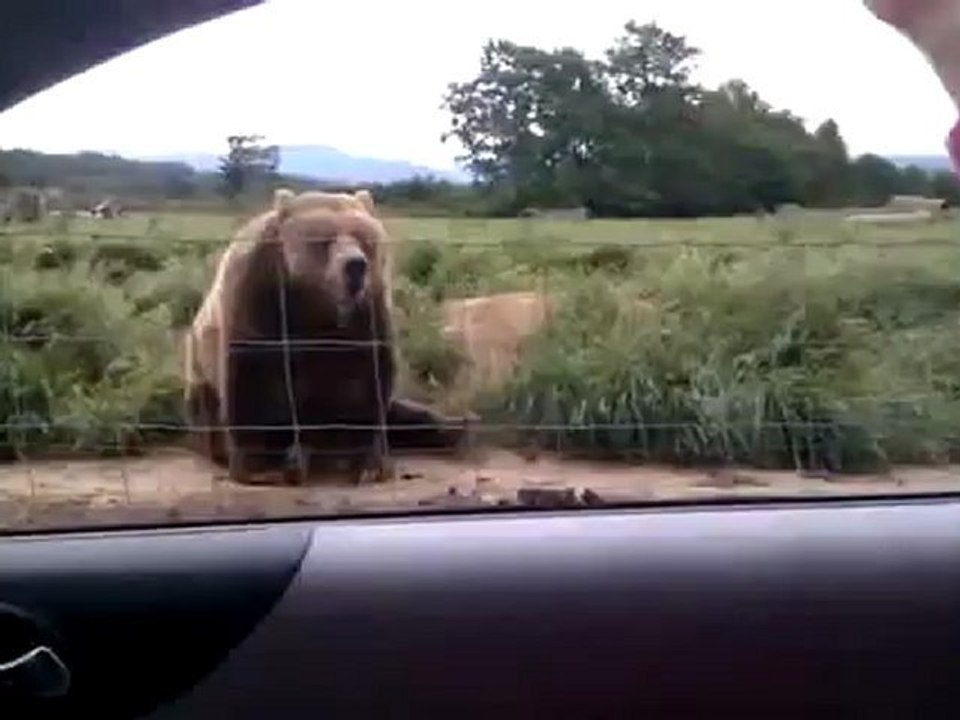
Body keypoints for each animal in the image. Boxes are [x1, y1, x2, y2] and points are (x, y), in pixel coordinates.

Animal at [184, 187, 470, 485]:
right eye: (324, 240)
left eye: (363, 238)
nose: (355, 266)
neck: (318, 306)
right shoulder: (259, 300)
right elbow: (254, 381)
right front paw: (263, 465)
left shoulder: (366, 313)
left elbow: (366, 382)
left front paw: (368, 463)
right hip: (200, 383)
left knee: (405, 414)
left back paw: (457, 426)